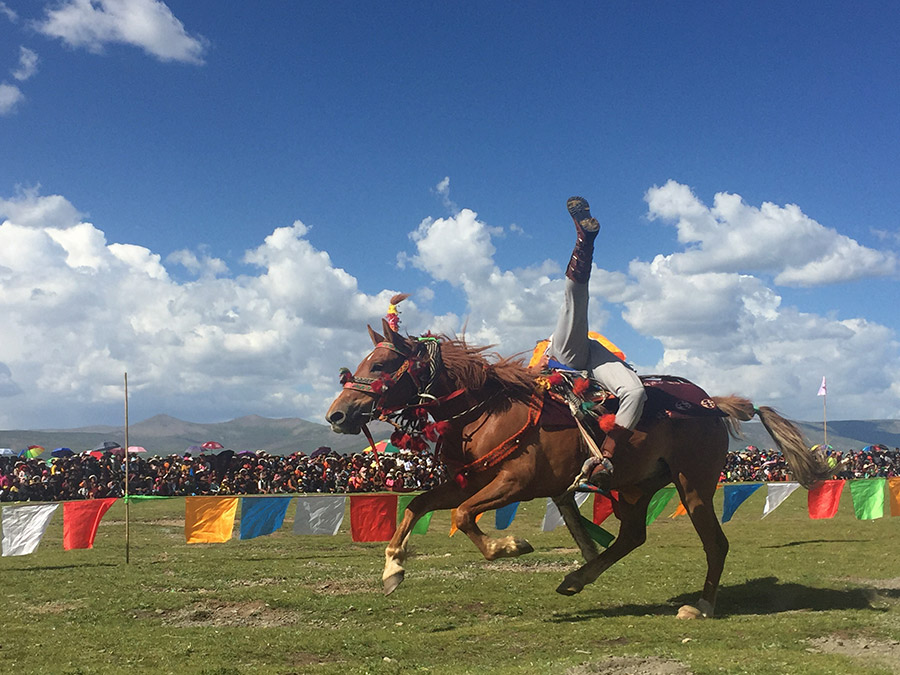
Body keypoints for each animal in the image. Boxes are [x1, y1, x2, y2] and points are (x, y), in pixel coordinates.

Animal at [326, 320, 828, 620]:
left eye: (383, 364)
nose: (337, 414)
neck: (487, 411)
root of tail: (711, 403)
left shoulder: (516, 482)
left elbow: (463, 515)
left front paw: (509, 545)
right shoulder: (470, 479)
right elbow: (419, 505)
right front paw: (393, 569)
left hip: (694, 485)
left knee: (715, 543)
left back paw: (701, 605)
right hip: (635, 486)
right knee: (631, 536)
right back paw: (577, 578)